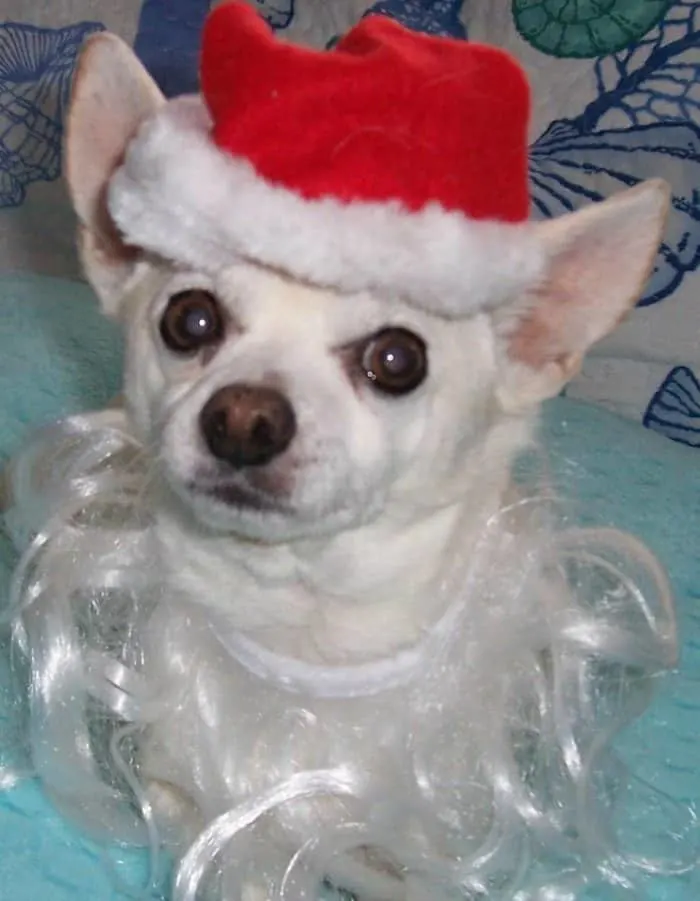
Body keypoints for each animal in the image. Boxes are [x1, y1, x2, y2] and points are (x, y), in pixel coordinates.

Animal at [2, 8, 676, 900]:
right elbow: (223, 846)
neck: (307, 628)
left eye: (397, 358)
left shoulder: (428, 826)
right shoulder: (193, 794)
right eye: (189, 318)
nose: (243, 417)